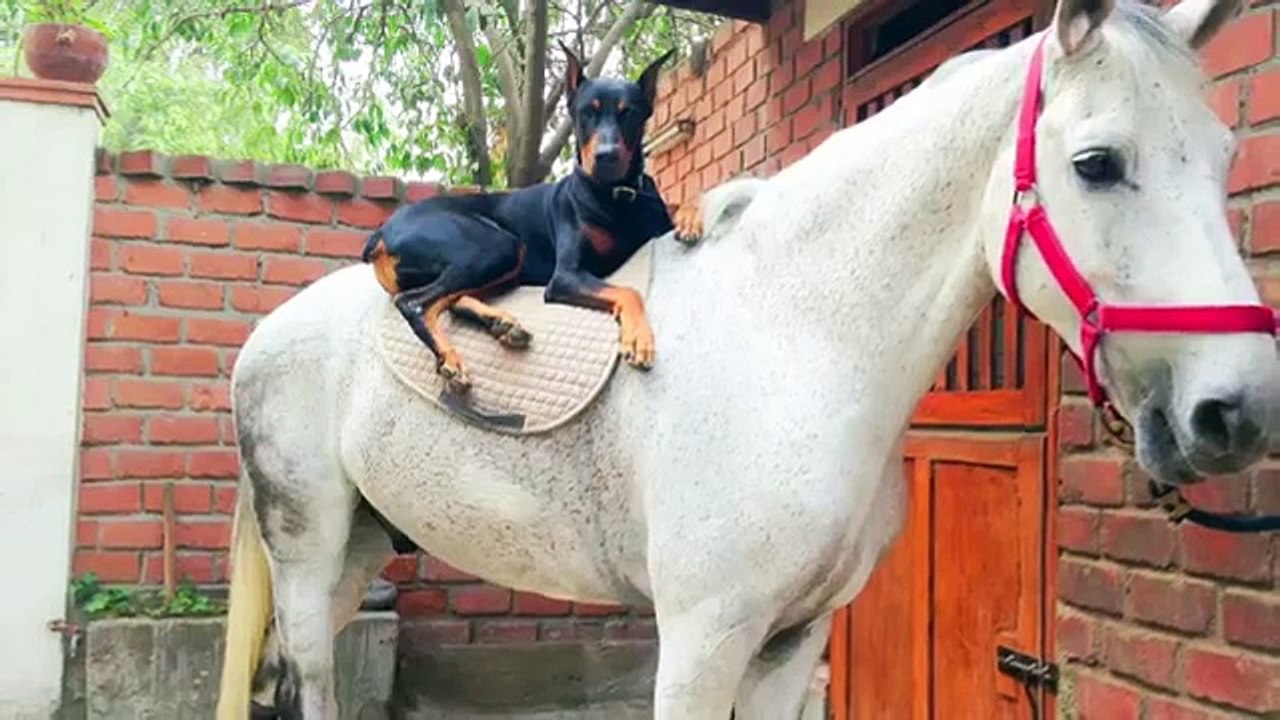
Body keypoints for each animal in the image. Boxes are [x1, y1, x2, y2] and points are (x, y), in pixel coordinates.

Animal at [216, 1, 1279, 717]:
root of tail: (275, 331)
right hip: (307, 543)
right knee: (311, 677)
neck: (797, 339)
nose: (1237, 411)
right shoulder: (702, 639)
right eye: (1095, 164)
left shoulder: (792, 640)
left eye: (1228, 155)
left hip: (357, 548)